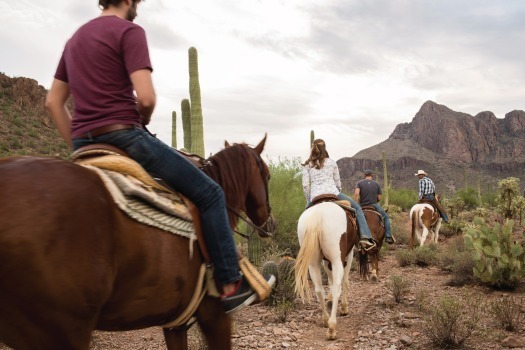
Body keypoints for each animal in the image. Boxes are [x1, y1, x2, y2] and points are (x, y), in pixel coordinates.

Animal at [294, 200, 368, 340]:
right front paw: (344, 307)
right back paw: (332, 327)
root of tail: (317, 215)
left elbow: (330, 280)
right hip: (336, 259)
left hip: (313, 263)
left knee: (319, 290)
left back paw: (325, 320)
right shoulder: (349, 255)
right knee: (337, 288)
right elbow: (344, 282)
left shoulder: (325, 261)